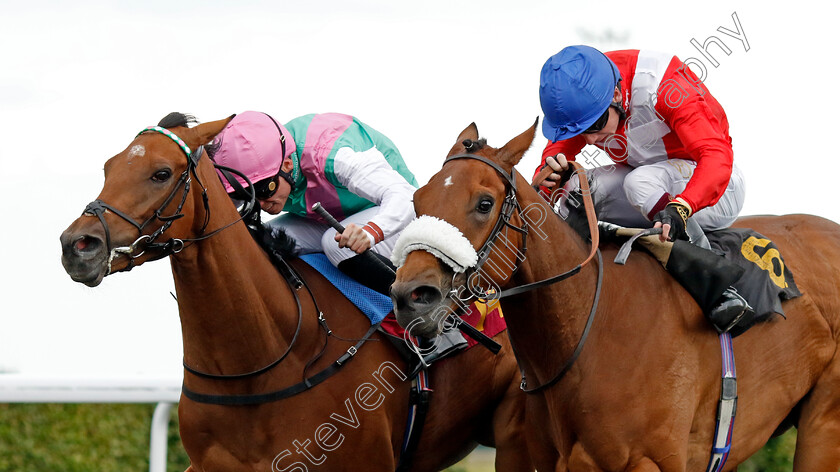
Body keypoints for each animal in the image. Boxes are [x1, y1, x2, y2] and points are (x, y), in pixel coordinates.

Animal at [390, 121, 840, 472]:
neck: (588, 330)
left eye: (484, 203)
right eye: (416, 200)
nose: (411, 296)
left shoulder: (652, 460)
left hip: (824, 426)